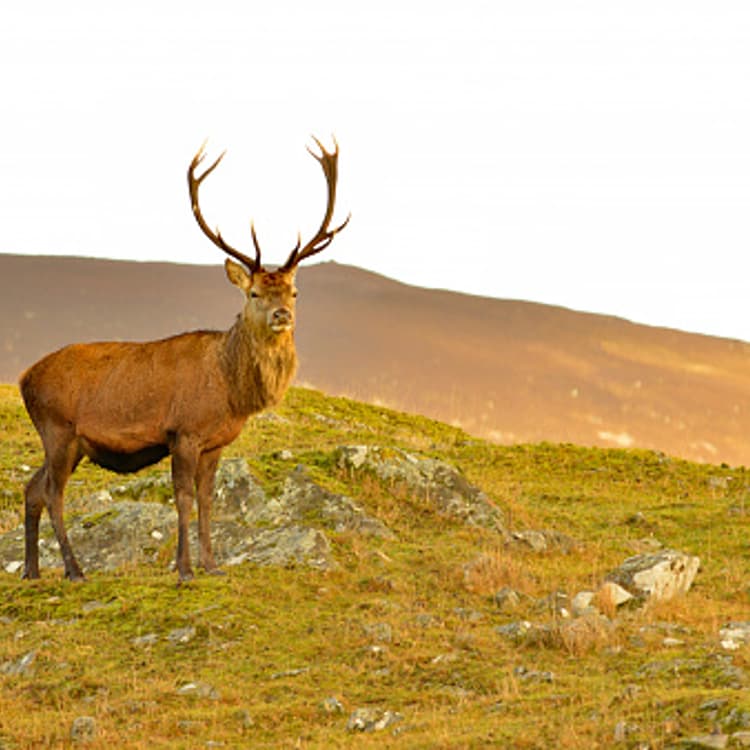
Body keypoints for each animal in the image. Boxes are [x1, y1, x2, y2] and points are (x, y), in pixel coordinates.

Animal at [19, 137, 349, 583]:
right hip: (58, 429)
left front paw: (212, 565)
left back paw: (31, 570)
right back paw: (73, 569)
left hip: (72, 444)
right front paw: (185, 569)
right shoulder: (183, 432)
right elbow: (183, 499)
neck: (230, 391)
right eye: (254, 293)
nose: (283, 315)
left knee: (32, 489)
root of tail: (25, 378)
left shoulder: (216, 443)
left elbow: (209, 500)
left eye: (293, 292)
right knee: (53, 493)